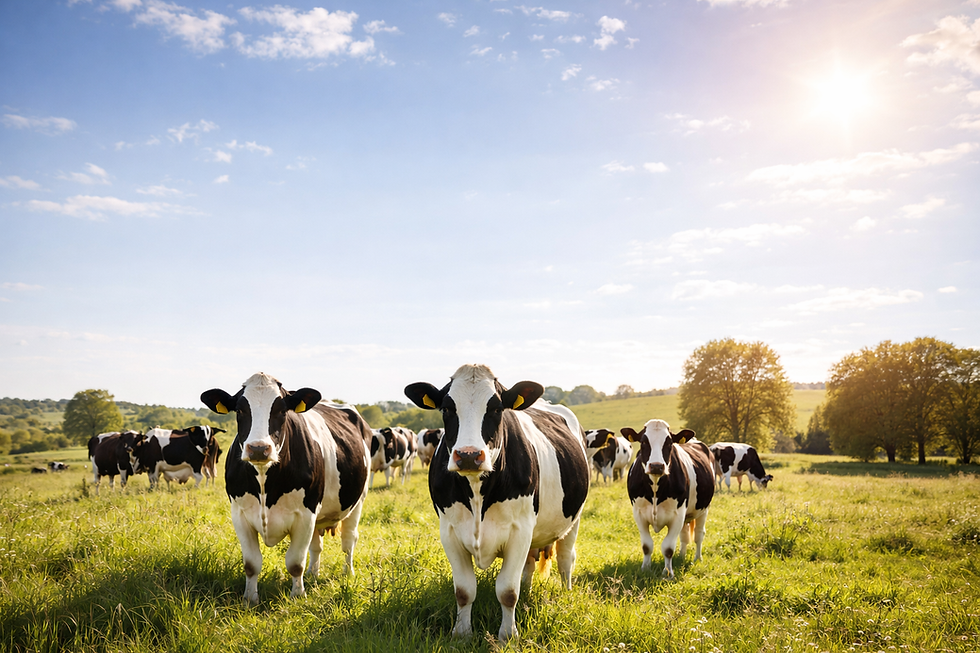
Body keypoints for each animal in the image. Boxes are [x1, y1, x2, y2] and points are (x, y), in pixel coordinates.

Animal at [201, 372, 372, 606]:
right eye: (240, 410)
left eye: (282, 410)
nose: (259, 448)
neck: (264, 481)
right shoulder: (240, 514)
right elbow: (251, 563)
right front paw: (250, 599)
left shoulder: (305, 515)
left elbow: (295, 562)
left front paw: (297, 596)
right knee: (316, 546)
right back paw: (313, 574)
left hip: (357, 501)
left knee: (349, 540)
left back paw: (348, 573)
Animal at [405, 364, 590, 641]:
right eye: (447, 409)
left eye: (496, 408)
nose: (468, 455)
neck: (477, 493)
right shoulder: (449, 531)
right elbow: (464, 590)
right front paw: (462, 633)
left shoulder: (520, 530)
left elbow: (507, 591)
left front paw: (507, 636)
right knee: (529, 565)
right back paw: (528, 591)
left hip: (573, 519)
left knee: (566, 559)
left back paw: (566, 593)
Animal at [621, 419, 714, 578]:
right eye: (644, 442)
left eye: (670, 443)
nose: (656, 466)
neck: (655, 489)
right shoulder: (638, 513)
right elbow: (647, 545)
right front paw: (645, 568)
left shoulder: (678, 515)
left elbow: (668, 548)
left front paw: (668, 573)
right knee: (684, 535)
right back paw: (682, 556)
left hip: (703, 509)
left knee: (699, 534)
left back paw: (697, 558)